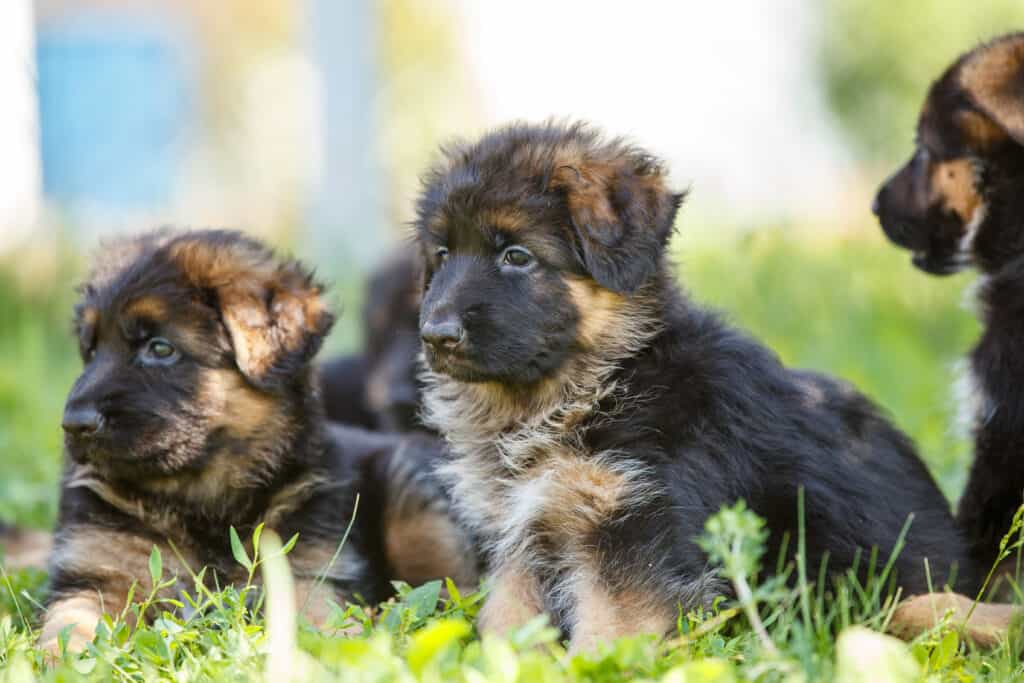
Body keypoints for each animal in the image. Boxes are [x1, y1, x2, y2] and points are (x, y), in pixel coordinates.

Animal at [38, 228, 471, 655]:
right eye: (91, 350)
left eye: (160, 348)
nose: (74, 423)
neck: (199, 501)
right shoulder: (97, 571)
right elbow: (70, 626)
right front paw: (61, 660)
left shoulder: (306, 572)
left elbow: (318, 624)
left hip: (413, 504)